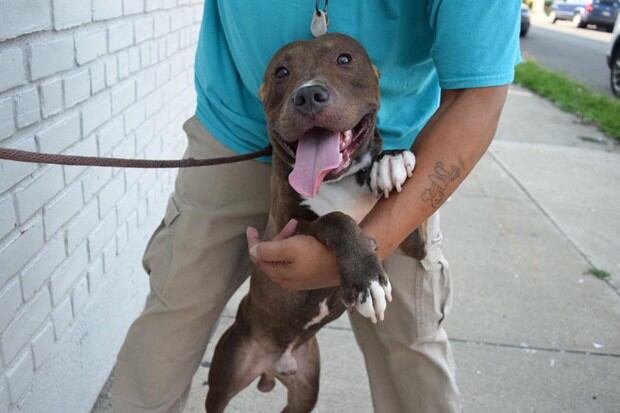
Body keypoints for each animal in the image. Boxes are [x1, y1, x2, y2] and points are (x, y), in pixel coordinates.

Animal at [206, 33, 424, 412]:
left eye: (344, 58)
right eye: (281, 71)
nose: (308, 95)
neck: (338, 180)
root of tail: (273, 362)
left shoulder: (411, 240)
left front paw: (391, 159)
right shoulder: (285, 233)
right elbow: (336, 220)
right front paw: (366, 277)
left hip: (305, 388)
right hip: (225, 374)